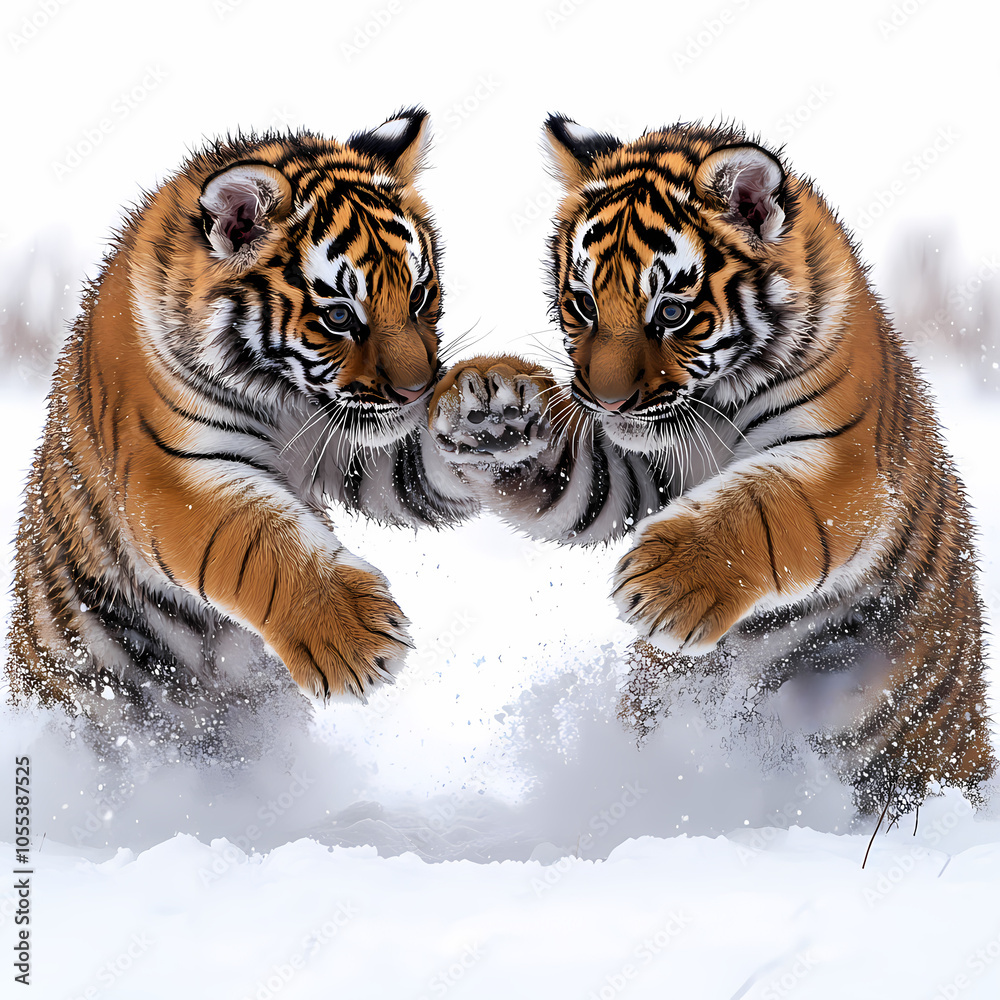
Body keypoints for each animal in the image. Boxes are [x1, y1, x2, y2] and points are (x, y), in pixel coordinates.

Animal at [5, 108, 485, 746]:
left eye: (420, 294)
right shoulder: (170, 472)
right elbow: (255, 537)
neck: (285, 396)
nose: (418, 393)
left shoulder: (351, 440)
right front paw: (357, 640)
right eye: (339, 316)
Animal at [428, 115, 995, 819]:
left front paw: (663, 584)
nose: (606, 401)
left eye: (670, 313)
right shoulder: (632, 472)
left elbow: (766, 505)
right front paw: (490, 405)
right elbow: (573, 476)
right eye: (584, 305)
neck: (712, 402)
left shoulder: (848, 467)